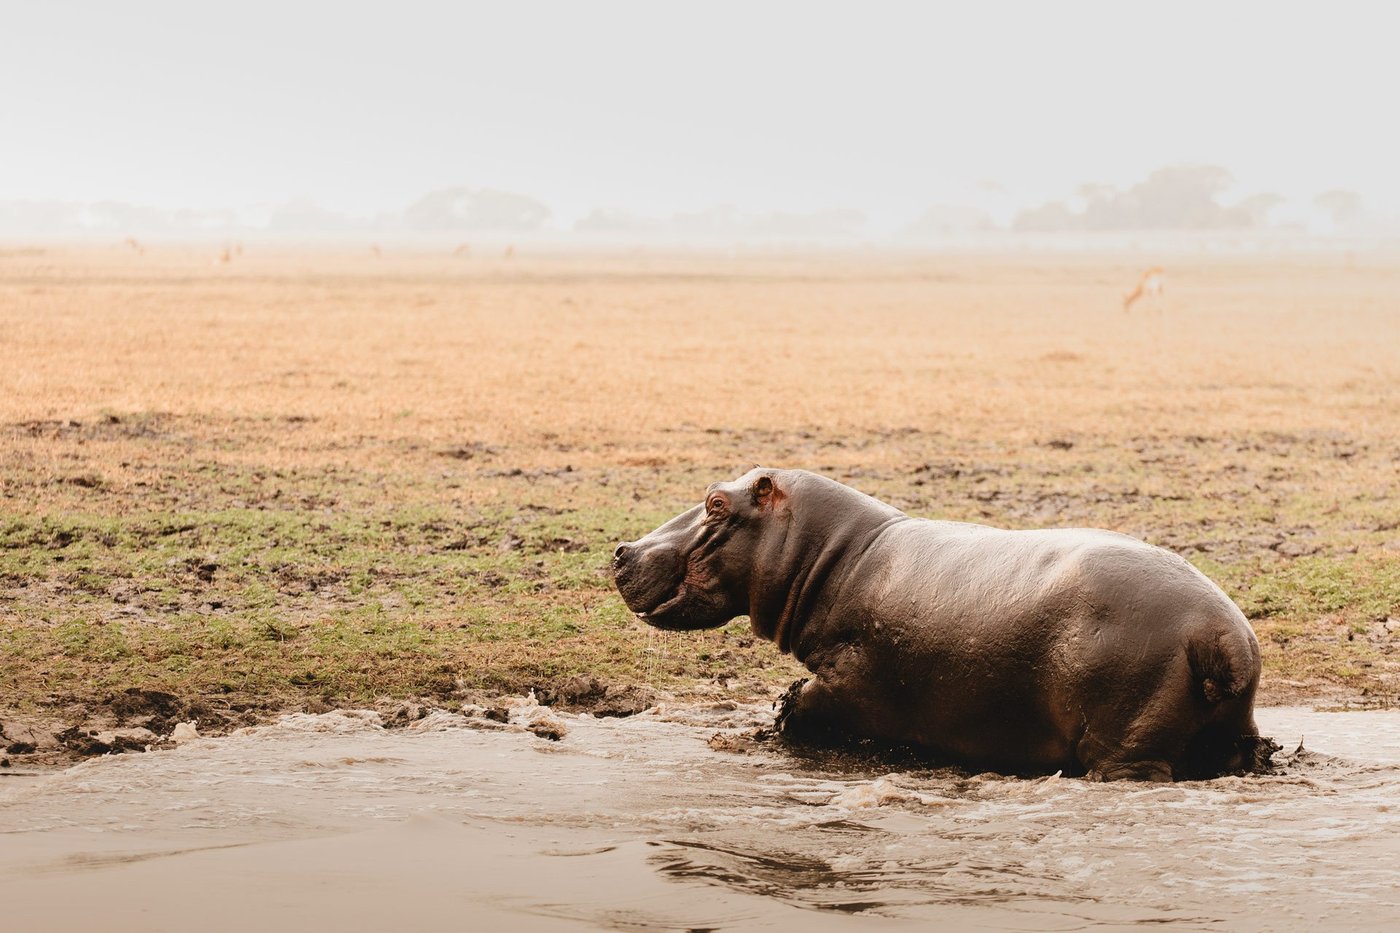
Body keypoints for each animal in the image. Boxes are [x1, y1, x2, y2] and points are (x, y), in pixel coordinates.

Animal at [613, 468, 1275, 781]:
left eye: (715, 502)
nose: (621, 549)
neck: (835, 553)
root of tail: (1225, 634)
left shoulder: (855, 683)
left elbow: (807, 703)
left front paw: (780, 715)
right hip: (1230, 731)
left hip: (1125, 745)